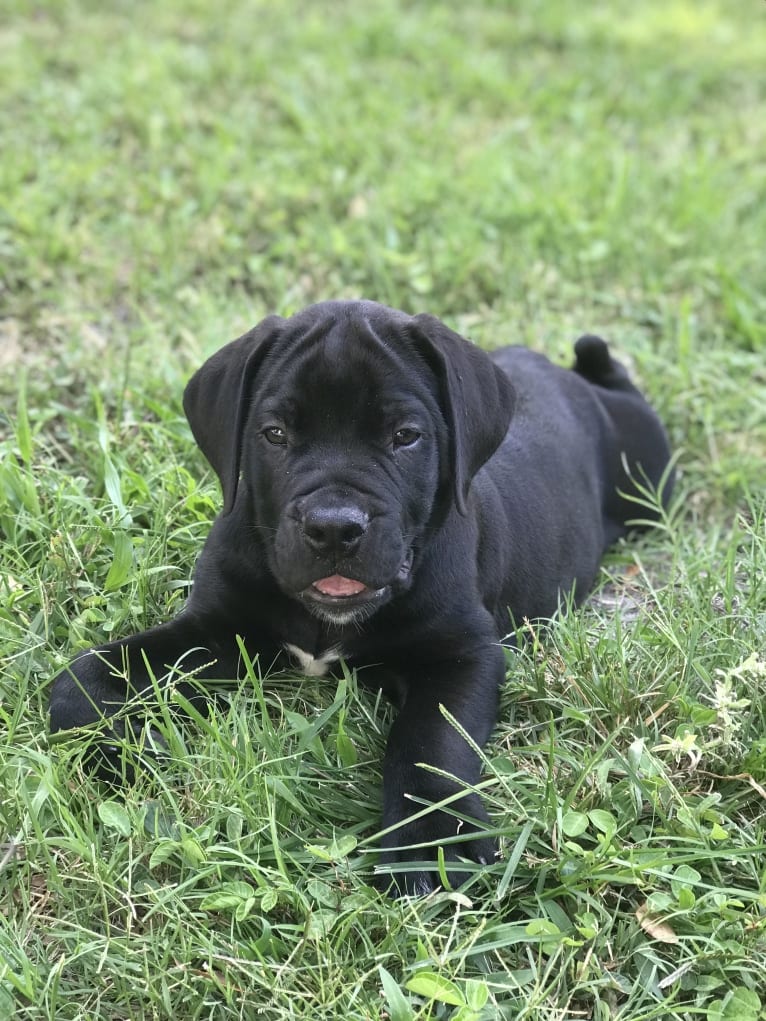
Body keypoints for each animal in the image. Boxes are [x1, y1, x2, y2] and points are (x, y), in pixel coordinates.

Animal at [49, 300, 669, 894]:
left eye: (405, 436)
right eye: (275, 434)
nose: (333, 527)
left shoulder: (462, 655)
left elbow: (431, 742)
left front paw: (430, 842)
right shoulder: (217, 628)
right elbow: (92, 673)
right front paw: (111, 743)